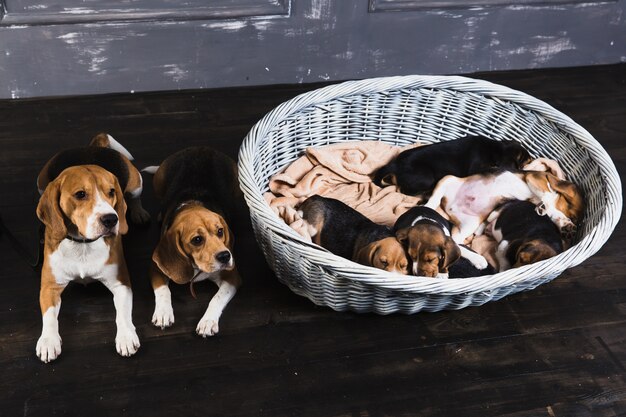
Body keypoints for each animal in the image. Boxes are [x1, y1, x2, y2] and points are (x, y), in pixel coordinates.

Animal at [37, 164, 140, 362]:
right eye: (80, 194)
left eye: (111, 192)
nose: (111, 219)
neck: (82, 244)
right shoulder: (49, 287)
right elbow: (49, 315)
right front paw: (48, 340)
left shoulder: (121, 284)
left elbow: (122, 313)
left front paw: (126, 336)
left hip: (136, 185)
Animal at [147, 146, 243, 334]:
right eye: (197, 240)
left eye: (220, 231)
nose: (225, 256)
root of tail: (201, 147)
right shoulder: (156, 268)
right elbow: (163, 290)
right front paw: (163, 312)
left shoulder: (232, 277)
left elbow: (216, 298)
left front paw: (208, 321)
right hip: (158, 181)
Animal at [372, 135, 528, 197]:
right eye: (527, 160)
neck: (495, 149)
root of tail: (395, 165)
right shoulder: (476, 168)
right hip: (426, 178)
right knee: (403, 191)